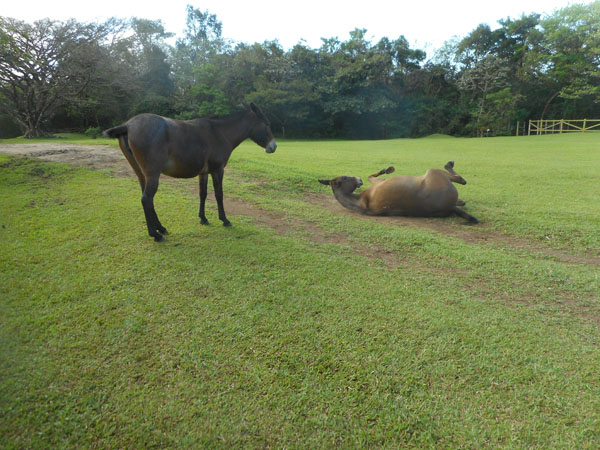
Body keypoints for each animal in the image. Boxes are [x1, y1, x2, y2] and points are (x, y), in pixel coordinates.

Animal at [103, 103, 276, 241]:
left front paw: (203, 218)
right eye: (267, 124)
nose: (273, 146)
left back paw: (161, 228)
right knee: (146, 199)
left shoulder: (203, 173)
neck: (219, 133)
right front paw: (224, 220)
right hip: (152, 175)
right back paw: (155, 234)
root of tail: (128, 125)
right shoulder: (217, 170)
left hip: (141, 174)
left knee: (148, 200)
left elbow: (203, 194)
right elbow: (219, 194)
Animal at [318, 162, 478, 223]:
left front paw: (387, 169)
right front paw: (388, 169)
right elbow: (373, 176)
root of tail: (449, 206)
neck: (360, 202)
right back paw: (449, 164)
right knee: (461, 179)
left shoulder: (377, 182)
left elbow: (372, 175)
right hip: (434, 172)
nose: (359, 180)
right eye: (345, 178)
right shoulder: (378, 182)